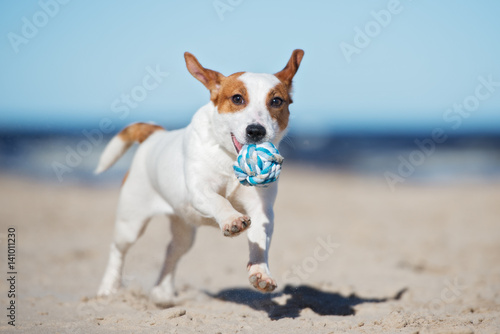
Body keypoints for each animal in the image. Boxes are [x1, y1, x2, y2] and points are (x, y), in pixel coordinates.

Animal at [95, 49, 302, 306]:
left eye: (276, 101)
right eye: (237, 98)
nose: (256, 131)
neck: (229, 161)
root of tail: (154, 135)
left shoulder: (262, 210)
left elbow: (259, 242)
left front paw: (260, 272)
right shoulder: (200, 191)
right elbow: (220, 201)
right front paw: (232, 219)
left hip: (184, 230)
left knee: (172, 252)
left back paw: (162, 293)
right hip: (130, 223)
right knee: (118, 250)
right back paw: (108, 288)